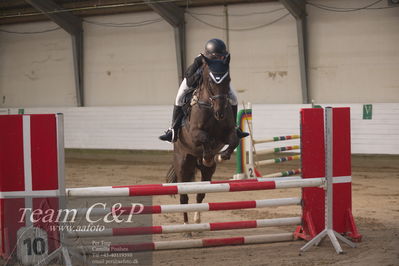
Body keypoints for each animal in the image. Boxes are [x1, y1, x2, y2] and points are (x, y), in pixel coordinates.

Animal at [166, 53, 239, 231]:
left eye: (228, 80)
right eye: (211, 81)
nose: (220, 112)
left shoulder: (227, 134)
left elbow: (233, 140)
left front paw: (221, 156)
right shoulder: (195, 134)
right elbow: (205, 138)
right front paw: (208, 155)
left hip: (208, 172)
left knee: (200, 193)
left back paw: (197, 220)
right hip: (183, 165)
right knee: (183, 197)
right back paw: (186, 227)